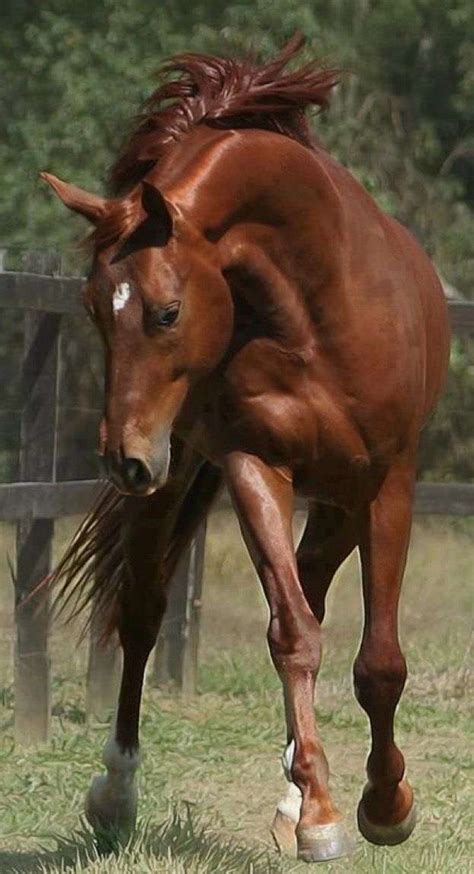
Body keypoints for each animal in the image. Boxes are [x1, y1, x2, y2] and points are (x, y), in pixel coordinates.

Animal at [41, 37, 448, 860]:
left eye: (166, 312)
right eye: (95, 310)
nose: (122, 458)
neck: (320, 309)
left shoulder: (389, 483)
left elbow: (378, 662)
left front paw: (385, 805)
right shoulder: (255, 464)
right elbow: (291, 635)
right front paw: (324, 813)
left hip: (335, 500)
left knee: (314, 592)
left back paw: (294, 791)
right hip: (180, 477)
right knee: (143, 612)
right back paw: (118, 792)